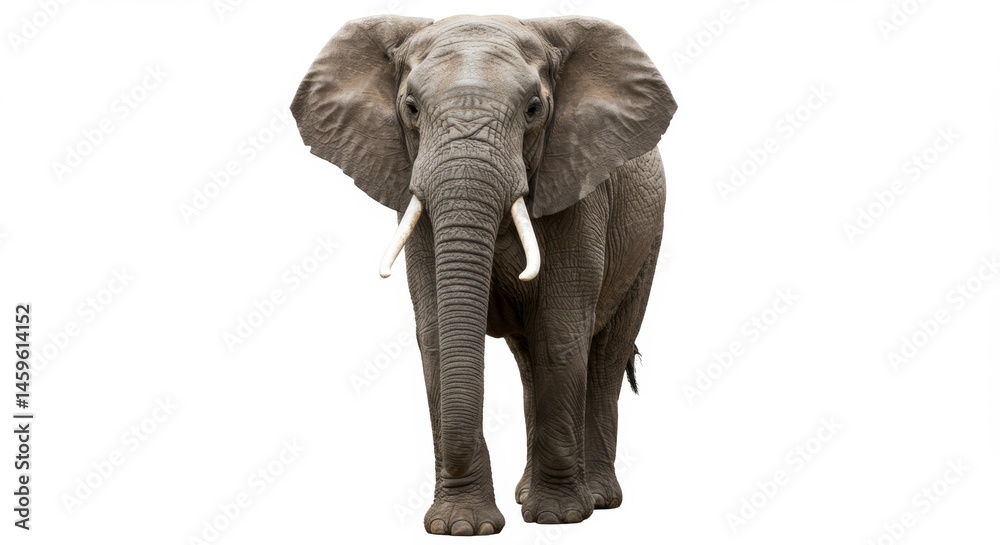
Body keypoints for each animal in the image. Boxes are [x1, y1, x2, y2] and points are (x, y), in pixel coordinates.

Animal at [291, 14, 677, 535]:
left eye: (534, 109)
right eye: (410, 109)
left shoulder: (579, 191)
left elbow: (559, 333)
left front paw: (556, 519)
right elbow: (437, 334)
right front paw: (462, 528)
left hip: (648, 238)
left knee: (603, 356)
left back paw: (597, 498)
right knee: (530, 363)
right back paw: (525, 494)